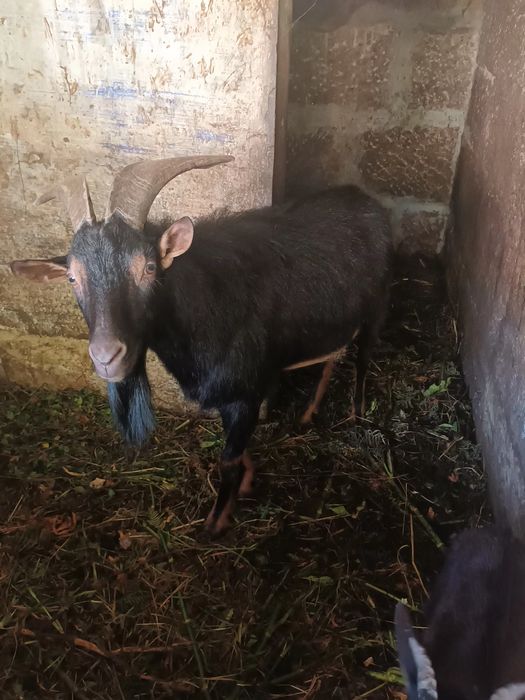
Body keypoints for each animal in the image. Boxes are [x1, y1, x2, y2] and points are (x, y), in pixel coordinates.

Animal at [10, 155, 392, 534]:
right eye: (72, 277)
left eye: (149, 267)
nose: (107, 357)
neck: (206, 308)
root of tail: (365, 199)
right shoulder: (225, 395)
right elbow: (235, 447)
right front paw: (247, 482)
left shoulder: (246, 392)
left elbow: (228, 459)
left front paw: (215, 522)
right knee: (333, 355)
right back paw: (309, 413)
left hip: (377, 306)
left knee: (363, 357)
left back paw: (357, 412)